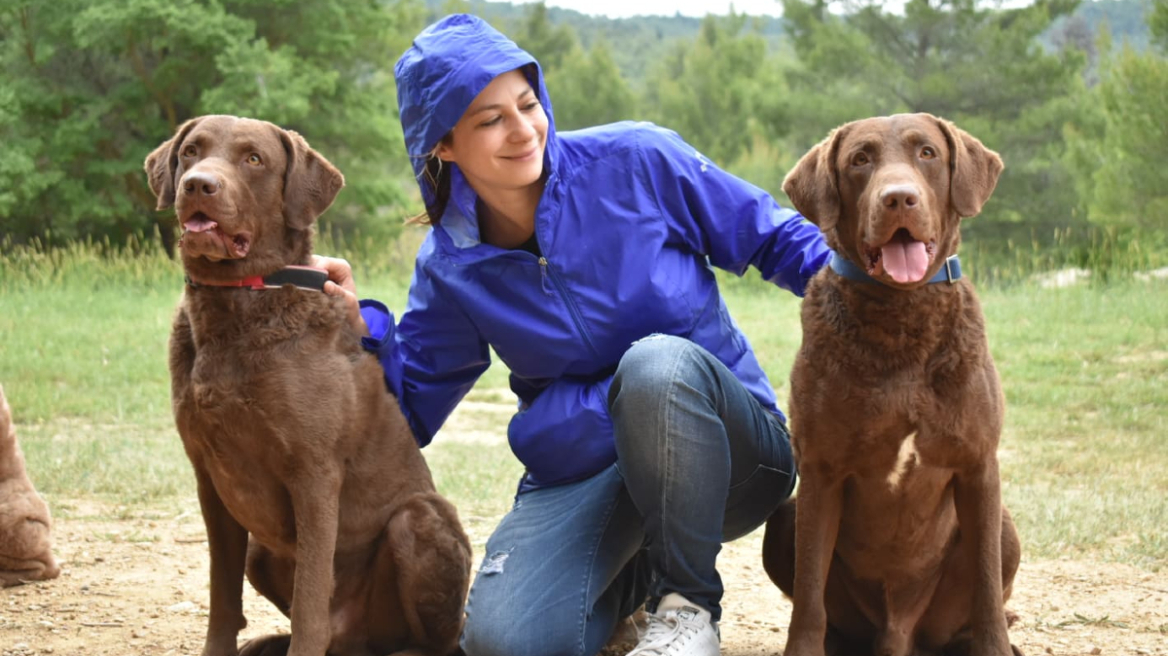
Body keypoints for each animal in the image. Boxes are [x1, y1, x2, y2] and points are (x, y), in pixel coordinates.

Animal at [143, 116, 471, 653]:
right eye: (191, 151)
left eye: (254, 159)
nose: (198, 185)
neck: (238, 306)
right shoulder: (208, 475)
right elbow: (222, 596)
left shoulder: (314, 473)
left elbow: (311, 599)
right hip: (260, 551)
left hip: (422, 517)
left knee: (437, 637)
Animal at [756, 113, 1023, 653]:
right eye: (860, 159)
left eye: (927, 153)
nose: (899, 198)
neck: (903, 315)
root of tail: (899, 632)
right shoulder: (820, 471)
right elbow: (808, 592)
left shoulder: (978, 465)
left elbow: (987, 589)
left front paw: (995, 644)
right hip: (784, 519)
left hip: (1004, 528)